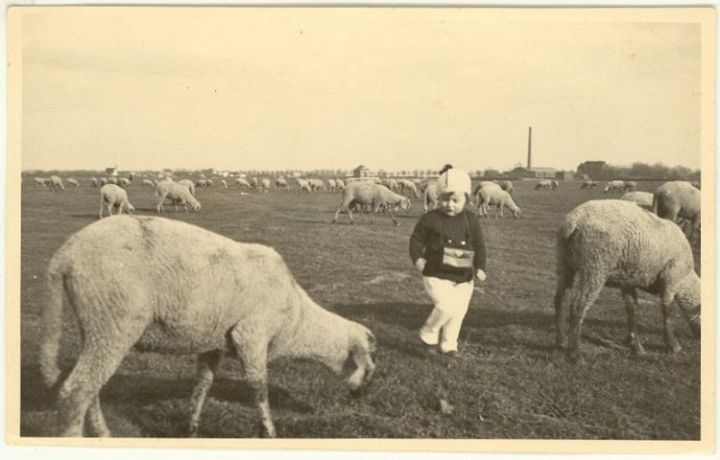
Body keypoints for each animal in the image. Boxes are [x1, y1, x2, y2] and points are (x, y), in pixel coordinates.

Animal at [39, 216, 376, 438]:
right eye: (369, 365)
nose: (362, 397)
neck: (298, 321)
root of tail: (64, 255)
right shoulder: (251, 335)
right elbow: (259, 388)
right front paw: (268, 432)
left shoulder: (213, 343)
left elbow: (203, 384)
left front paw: (192, 428)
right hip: (115, 319)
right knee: (75, 391)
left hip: (96, 324)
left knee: (90, 388)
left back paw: (104, 435)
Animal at [556, 199, 700, 362]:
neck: (686, 278)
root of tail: (573, 220)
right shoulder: (670, 277)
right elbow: (666, 310)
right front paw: (673, 345)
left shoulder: (628, 280)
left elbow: (632, 310)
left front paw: (635, 346)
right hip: (595, 265)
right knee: (578, 306)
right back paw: (574, 354)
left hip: (565, 261)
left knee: (560, 299)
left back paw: (561, 341)